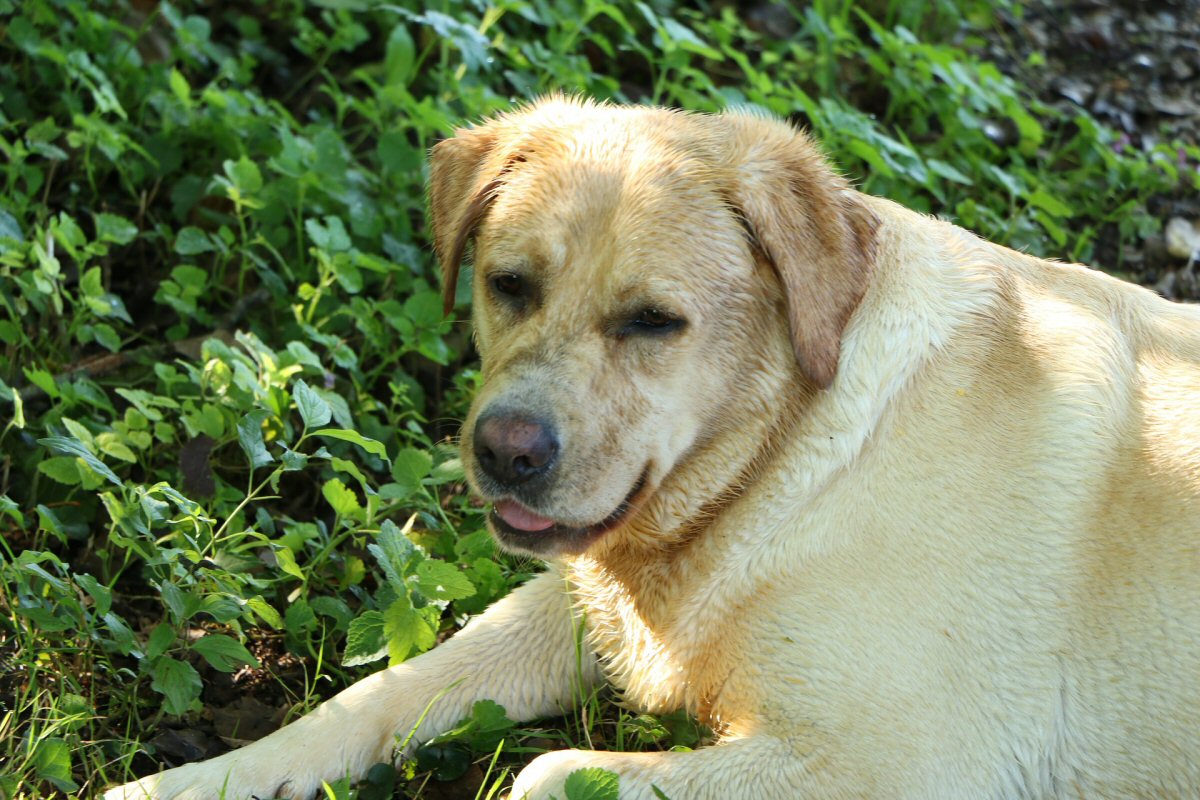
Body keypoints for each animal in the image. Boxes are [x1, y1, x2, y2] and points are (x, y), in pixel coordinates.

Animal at [112, 97, 1200, 796]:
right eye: (509, 284)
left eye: (652, 322)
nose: (505, 452)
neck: (783, 460)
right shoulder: (578, 607)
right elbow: (378, 693)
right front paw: (198, 779)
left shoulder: (908, 763)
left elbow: (547, 772)